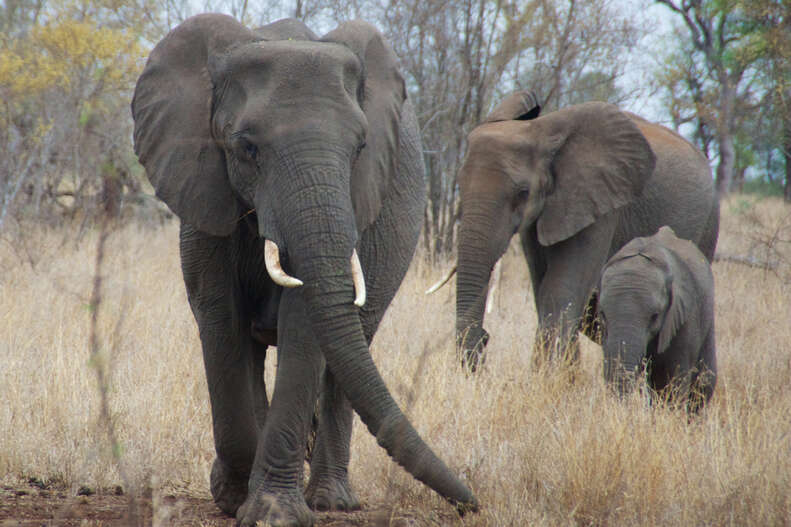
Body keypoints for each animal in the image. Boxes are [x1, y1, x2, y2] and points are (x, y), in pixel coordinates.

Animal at [131, 13, 476, 527]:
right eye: (248, 148)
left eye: (360, 148)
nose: (473, 503)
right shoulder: (204, 190)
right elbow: (220, 322)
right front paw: (232, 496)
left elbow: (305, 326)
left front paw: (272, 513)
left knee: (347, 355)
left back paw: (331, 500)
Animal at [446, 91, 716, 372]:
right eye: (460, 186)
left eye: (522, 193)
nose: (485, 337)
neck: (541, 132)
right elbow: (544, 288)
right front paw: (563, 376)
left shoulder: (600, 202)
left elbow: (560, 289)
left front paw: (551, 377)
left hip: (708, 223)